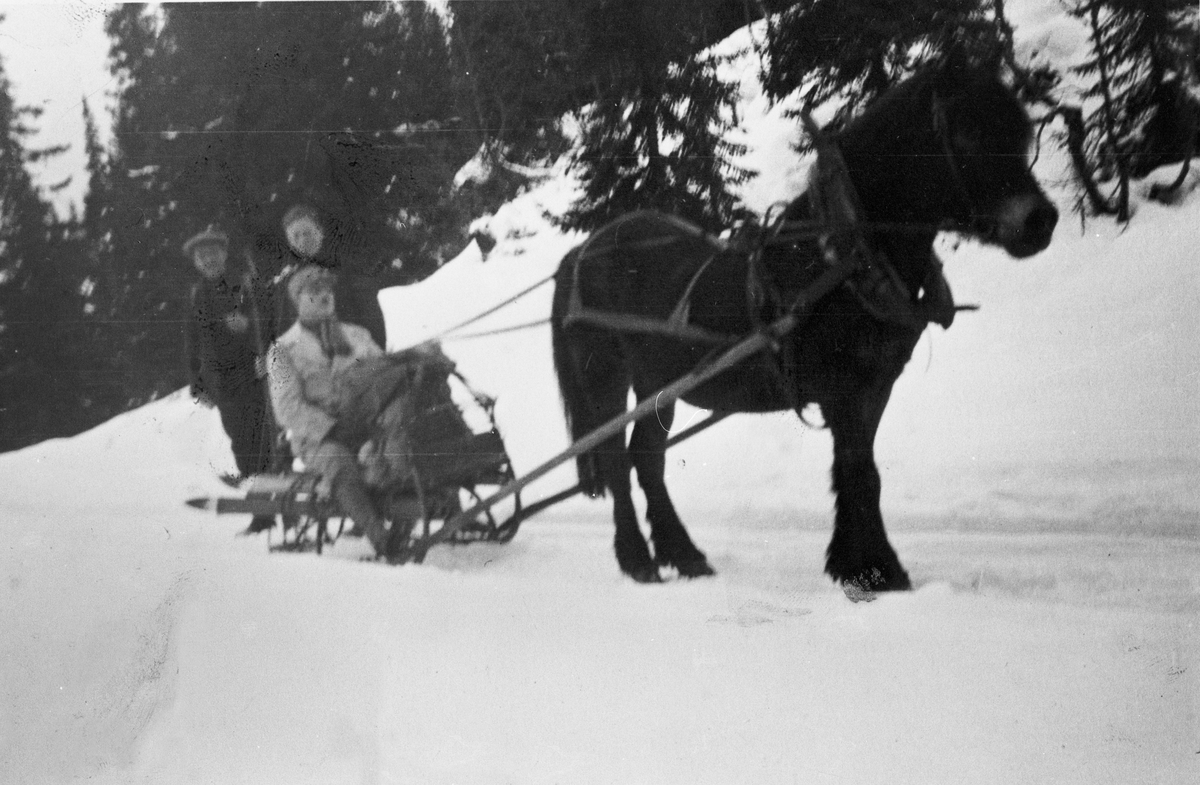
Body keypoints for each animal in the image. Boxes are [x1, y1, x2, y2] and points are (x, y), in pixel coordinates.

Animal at [549, 58, 1056, 590]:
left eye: (1022, 132)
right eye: (966, 133)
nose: (1040, 220)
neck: (842, 254)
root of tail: (580, 251)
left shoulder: (874, 385)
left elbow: (862, 471)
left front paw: (861, 564)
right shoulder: (842, 390)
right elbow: (858, 472)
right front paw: (874, 571)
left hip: (657, 382)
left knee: (647, 457)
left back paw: (684, 555)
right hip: (605, 374)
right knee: (615, 459)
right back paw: (637, 560)